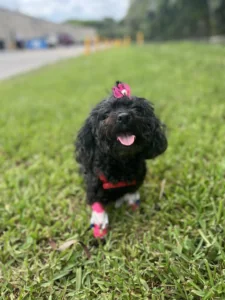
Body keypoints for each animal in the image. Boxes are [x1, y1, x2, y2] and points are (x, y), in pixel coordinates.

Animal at [75, 81, 167, 238]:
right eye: (106, 114)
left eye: (136, 109)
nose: (124, 117)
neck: (120, 161)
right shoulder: (94, 184)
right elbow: (97, 202)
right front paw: (100, 223)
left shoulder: (136, 179)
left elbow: (132, 193)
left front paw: (132, 205)